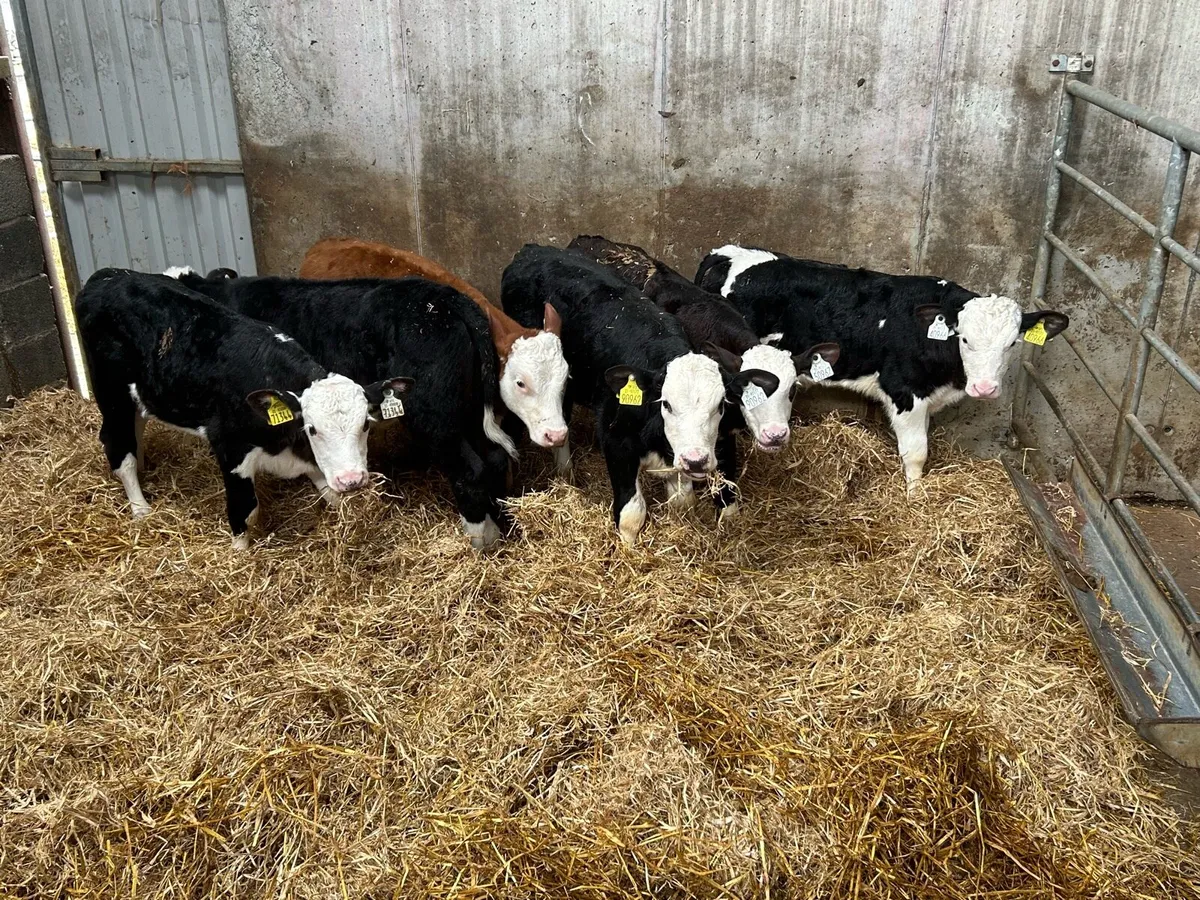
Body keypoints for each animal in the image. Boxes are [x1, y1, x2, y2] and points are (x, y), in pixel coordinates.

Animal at [75, 269, 412, 548]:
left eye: (365, 424)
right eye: (313, 429)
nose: (351, 480)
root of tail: (107, 276)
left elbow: (329, 493)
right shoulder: (230, 447)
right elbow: (245, 510)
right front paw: (240, 553)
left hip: (141, 395)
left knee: (136, 429)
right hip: (111, 393)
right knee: (119, 448)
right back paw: (141, 508)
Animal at [169, 268, 515, 549]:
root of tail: (448, 299)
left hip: (435, 417)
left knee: (469, 471)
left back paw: (477, 541)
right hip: (470, 410)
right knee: (496, 458)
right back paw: (502, 531)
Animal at [501, 244, 779, 544]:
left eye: (720, 406)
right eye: (667, 405)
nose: (696, 459)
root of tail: (533, 250)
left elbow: (682, 502)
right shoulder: (616, 443)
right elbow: (632, 514)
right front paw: (627, 549)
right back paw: (566, 474)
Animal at [696, 245, 1069, 488]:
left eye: (1012, 344)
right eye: (964, 339)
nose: (985, 388)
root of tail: (728, 253)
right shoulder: (904, 391)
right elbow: (916, 452)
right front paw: (914, 498)